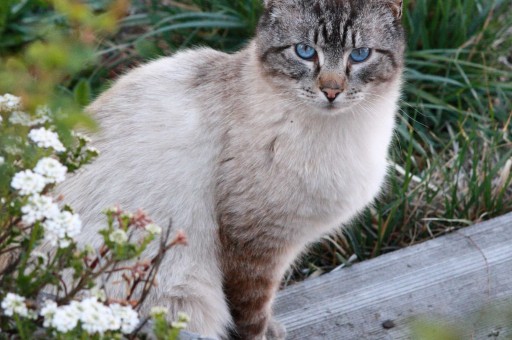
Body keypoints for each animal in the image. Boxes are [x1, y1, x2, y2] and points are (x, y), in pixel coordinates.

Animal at [60, 0, 404, 338]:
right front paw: (265, 333)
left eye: (359, 55)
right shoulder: (254, 246)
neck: (335, 132)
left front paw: (275, 330)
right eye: (305, 51)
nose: (331, 91)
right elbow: (251, 315)